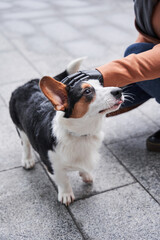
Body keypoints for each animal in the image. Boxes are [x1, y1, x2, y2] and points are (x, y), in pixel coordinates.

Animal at [9, 58, 124, 206]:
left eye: (101, 85)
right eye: (87, 91)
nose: (119, 91)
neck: (80, 133)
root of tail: (26, 84)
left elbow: (83, 168)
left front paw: (86, 175)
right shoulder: (53, 165)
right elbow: (63, 180)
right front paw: (66, 195)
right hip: (20, 128)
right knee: (25, 144)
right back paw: (27, 160)